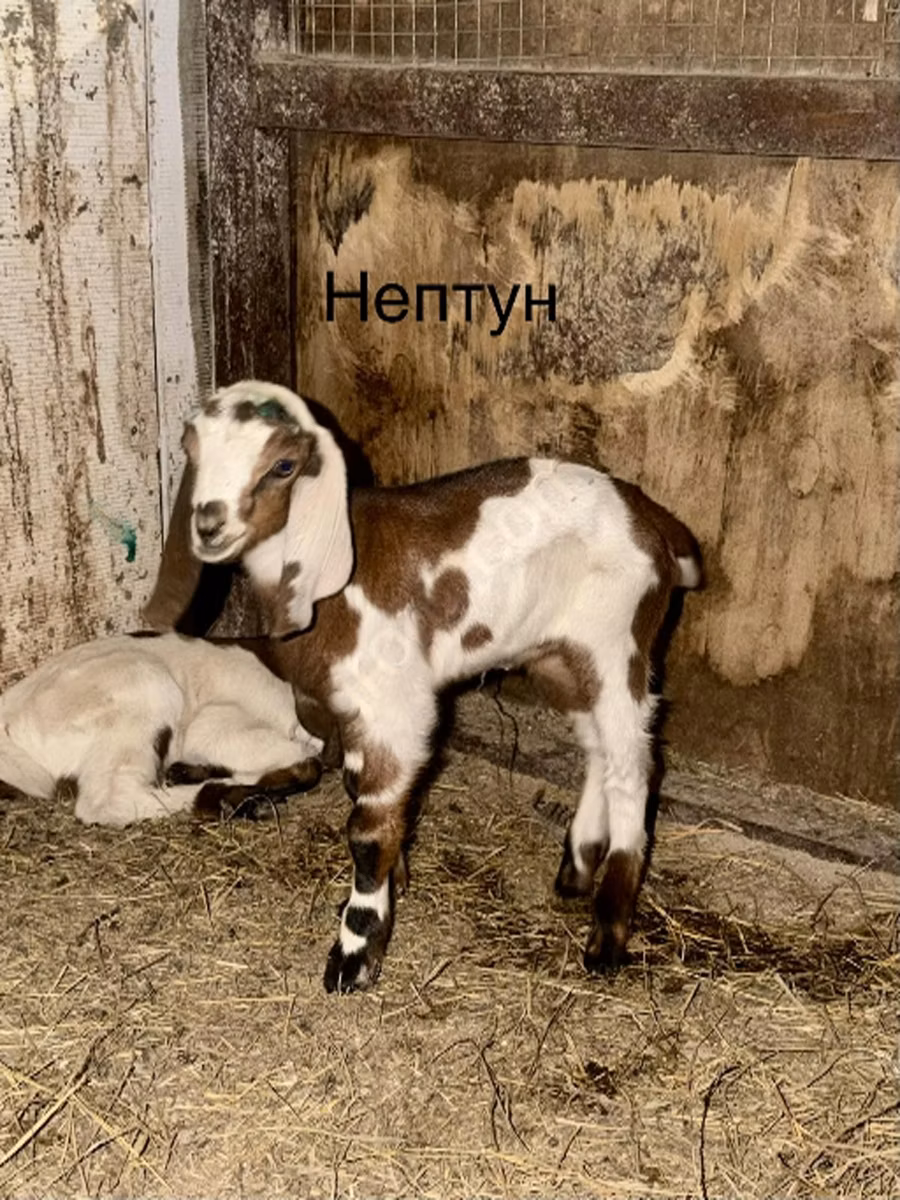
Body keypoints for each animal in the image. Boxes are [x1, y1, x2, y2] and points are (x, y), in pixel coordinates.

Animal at [144, 381, 702, 992]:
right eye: (192, 451)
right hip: (560, 657)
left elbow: (366, 831)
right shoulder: (350, 709)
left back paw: (607, 936)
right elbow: (359, 788)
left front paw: (355, 955)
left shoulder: (396, 706)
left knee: (632, 767)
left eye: (283, 466)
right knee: (598, 748)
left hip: (618, 641)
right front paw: (397, 880)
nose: (208, 525)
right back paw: (577, 865)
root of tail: (651, 518)